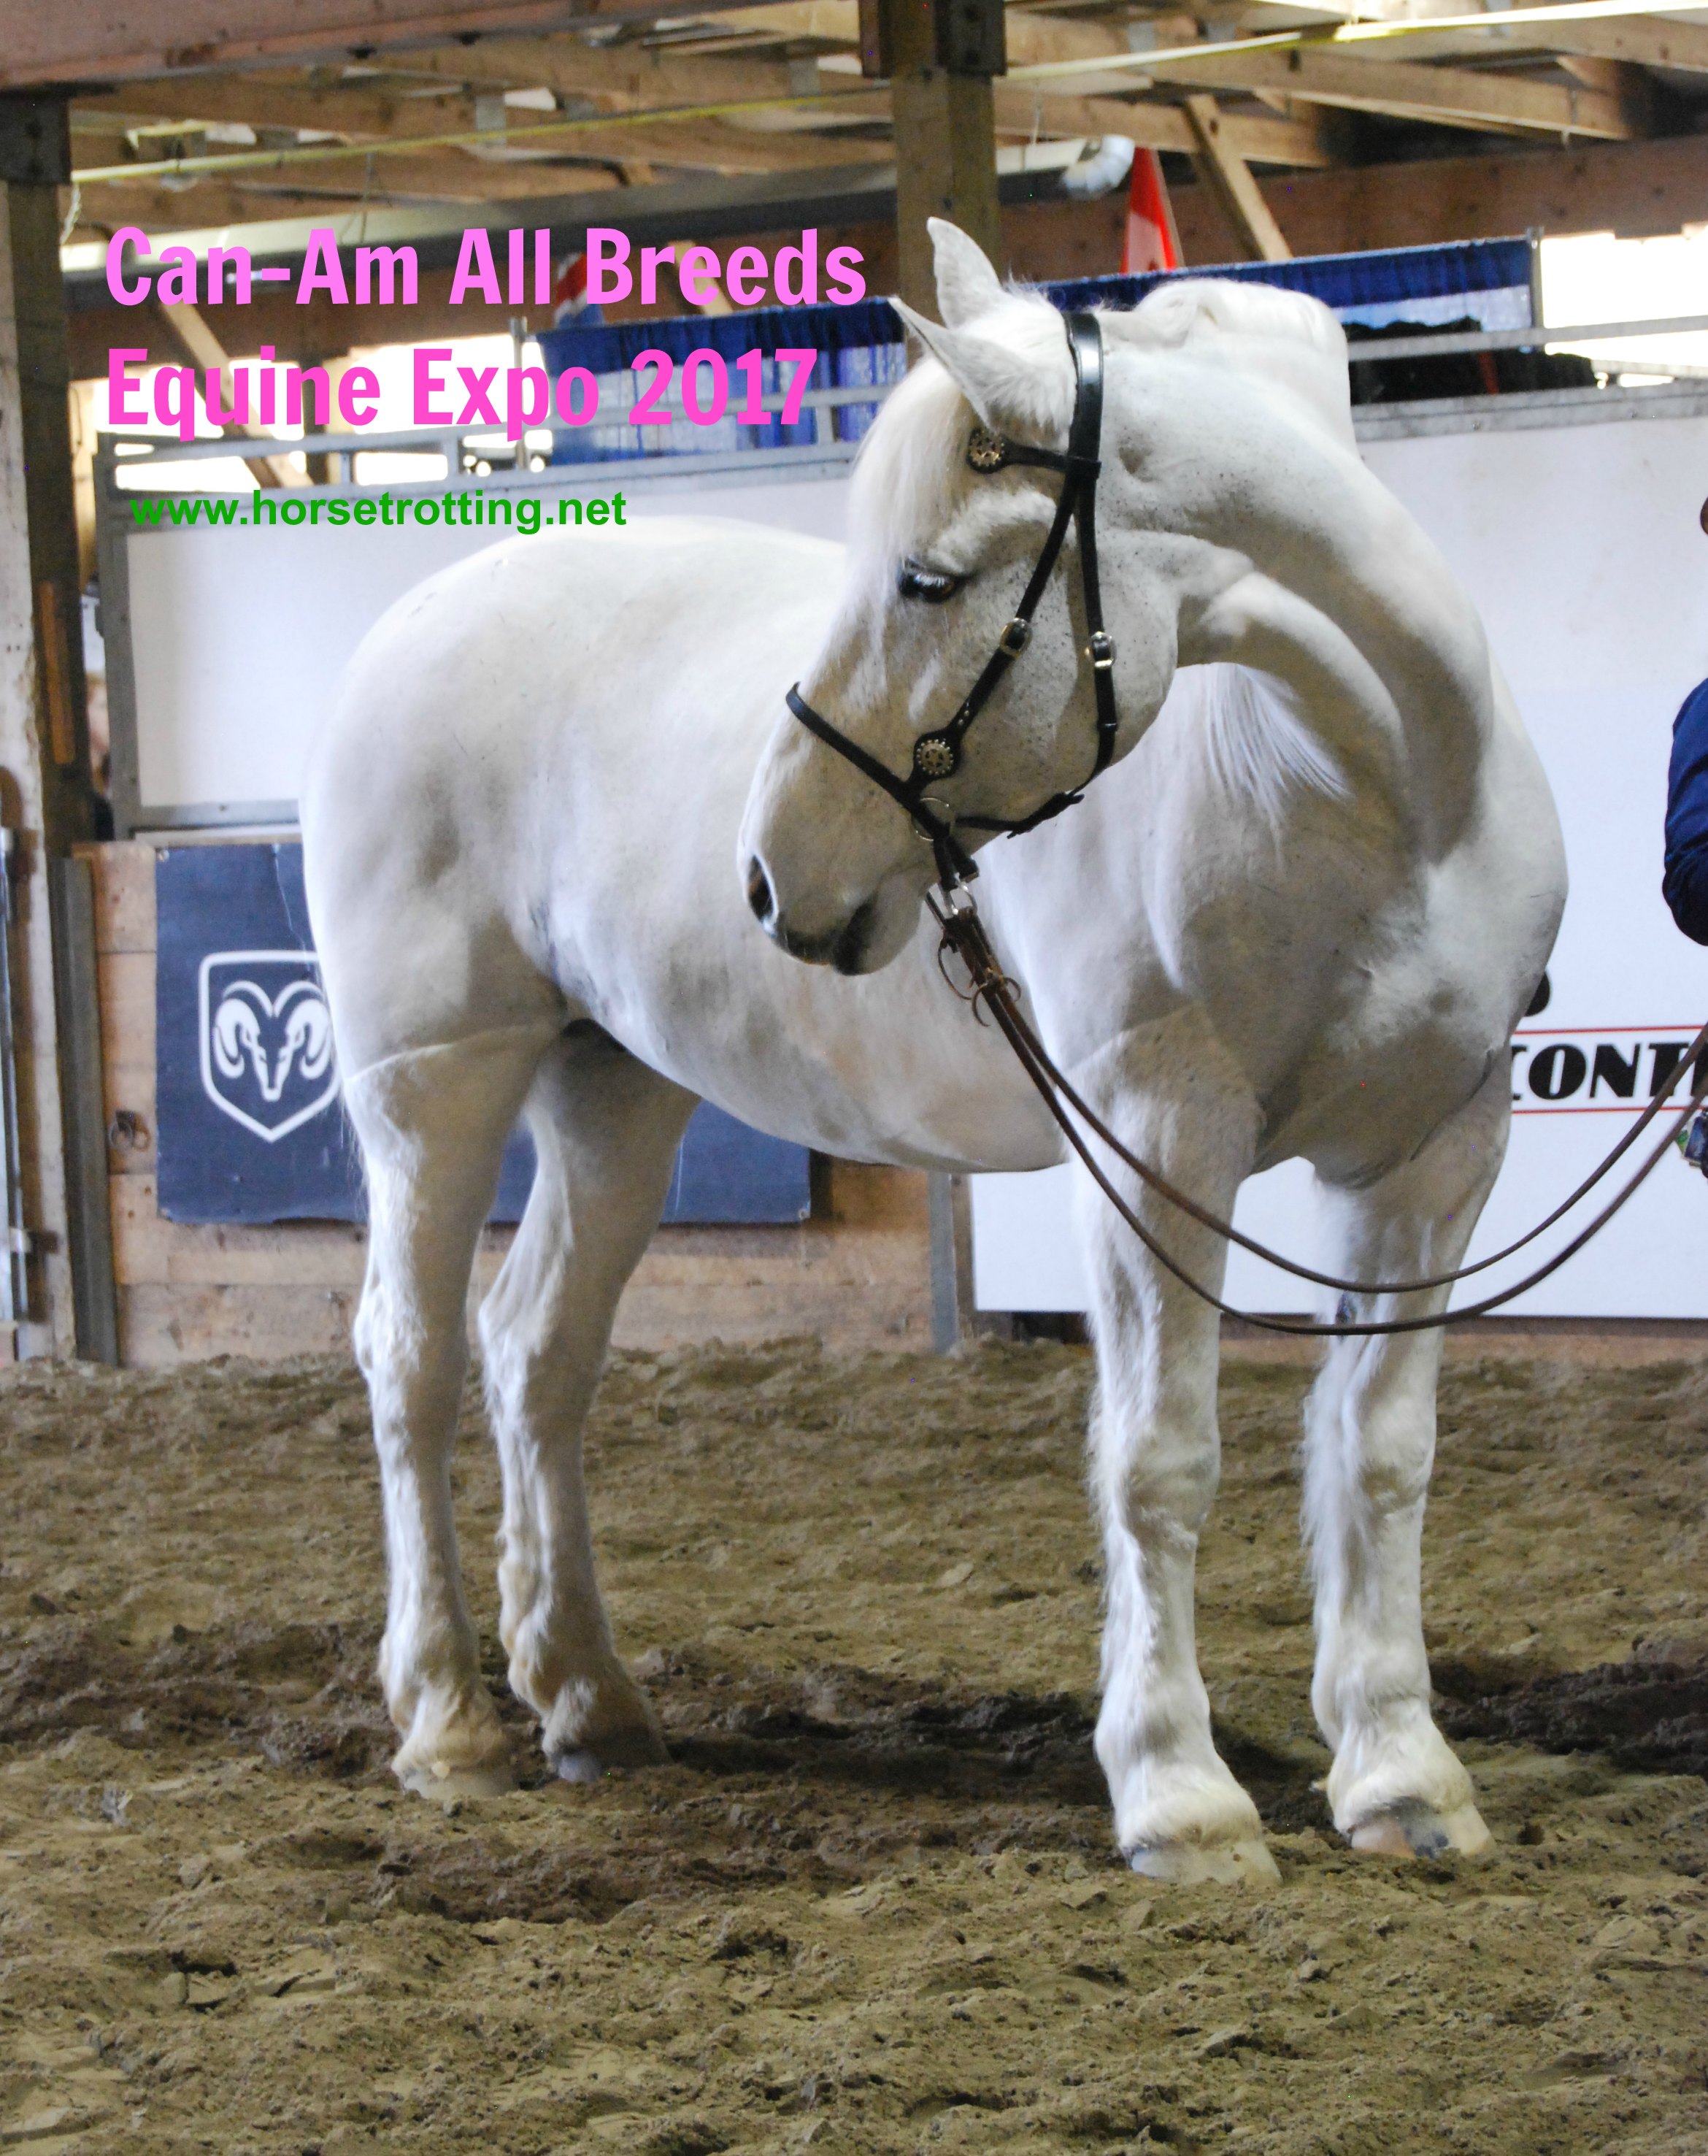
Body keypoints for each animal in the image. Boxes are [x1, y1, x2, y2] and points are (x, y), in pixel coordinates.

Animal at [302, 219, 1565, 1884]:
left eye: (926, 578)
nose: (769, 871)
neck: (1365, 789)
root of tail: (409, 619)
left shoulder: (1433, 1151)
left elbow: (1382, 1452)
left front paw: (1403, 1776)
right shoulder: (1159, 1138)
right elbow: (1159, 1456)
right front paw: (1180, 1794)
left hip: (613, 1087)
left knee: (536, 1355)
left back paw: (587, 1700)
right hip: (432, 1082)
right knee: (416, 1357)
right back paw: (449, 1721)